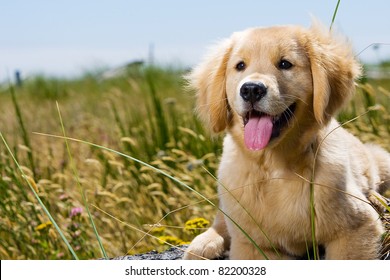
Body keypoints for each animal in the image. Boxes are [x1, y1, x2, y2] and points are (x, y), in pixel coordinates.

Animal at [184, 24, 390, 260]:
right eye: (240, 66)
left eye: (285, 64)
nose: (251, 89)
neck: (276, 166)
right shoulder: (253, 246)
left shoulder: (356, 228)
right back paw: (204, 243)